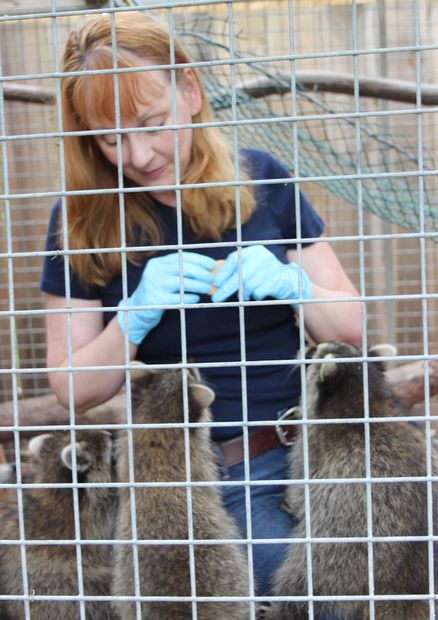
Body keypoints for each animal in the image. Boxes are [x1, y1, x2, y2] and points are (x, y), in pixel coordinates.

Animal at [266, 344, 438, 620]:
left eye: (313, 355)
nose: (305, 347)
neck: (365, 401)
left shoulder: (313, 450)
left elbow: (300, 492)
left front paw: (289, 502)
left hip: (337, 555)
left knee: (300, 581)